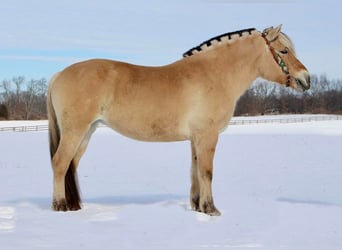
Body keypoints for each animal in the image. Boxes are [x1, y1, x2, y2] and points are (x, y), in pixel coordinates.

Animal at [47, 25, 310, 215]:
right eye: (284, 51)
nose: (306, 79)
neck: (214, 74)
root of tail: (59, 74)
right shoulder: (208, 136)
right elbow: (207, 171)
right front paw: (211, 209)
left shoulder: (196, 138)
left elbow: (194, 170)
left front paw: (197, 206)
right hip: (75, 131)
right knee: (60, 163)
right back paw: (60, 206)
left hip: (87, 131)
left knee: (71, 165)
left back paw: (73, 205)